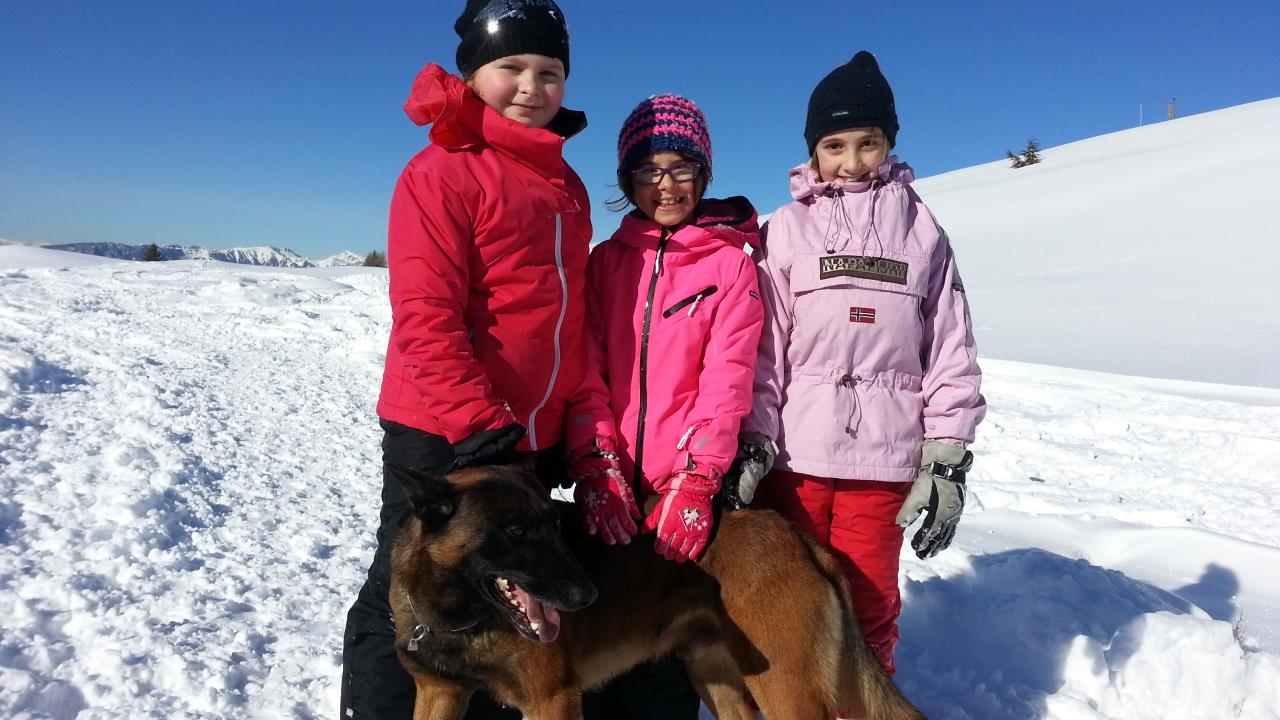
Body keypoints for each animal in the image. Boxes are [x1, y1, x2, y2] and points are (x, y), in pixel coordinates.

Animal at [389, 463, 924, 720]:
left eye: (554, 526)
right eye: (517, 530)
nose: (587, 594)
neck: (461, 616)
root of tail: (802, 541)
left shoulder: (552, 700)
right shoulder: (438, 695)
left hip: (785, 688)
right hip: (718, 676)